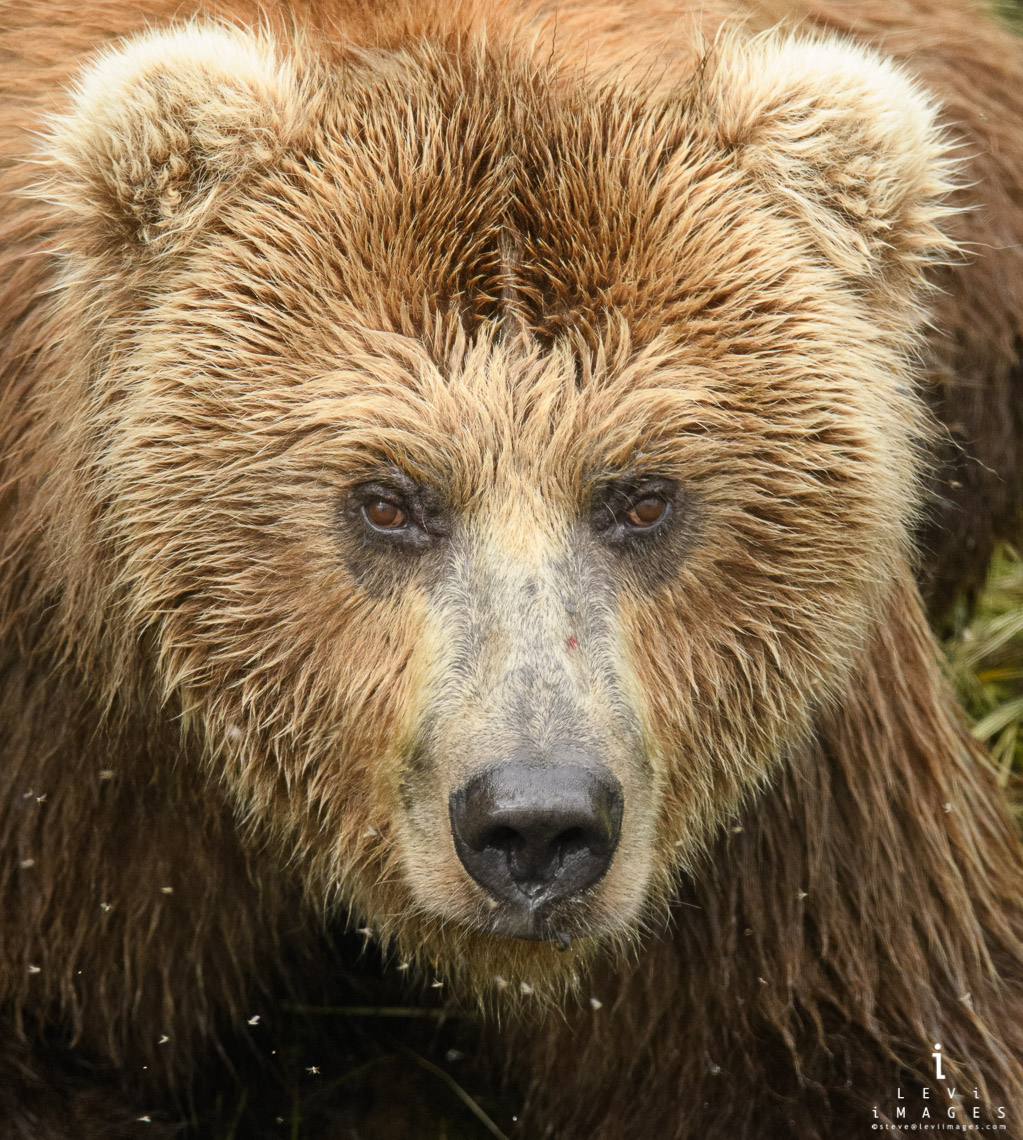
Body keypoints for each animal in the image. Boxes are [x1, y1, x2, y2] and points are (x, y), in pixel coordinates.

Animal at [1, 2, 1021, 1140]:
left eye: (642, 496)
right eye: (390, 499)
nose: (534, 823)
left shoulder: (788, 818)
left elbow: (857, 1049)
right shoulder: (75, 763)